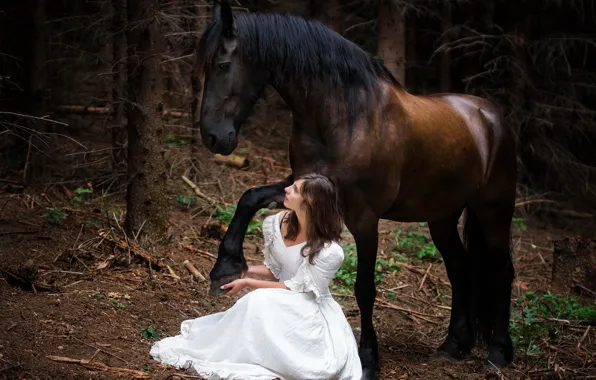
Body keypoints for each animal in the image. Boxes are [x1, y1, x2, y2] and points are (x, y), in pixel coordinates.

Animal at [194, 1, 516, 378]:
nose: (213, 137)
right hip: (442, 217)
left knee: (502, 272)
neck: (346, 118)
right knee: (460, 268)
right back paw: (454, 345)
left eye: (223, 65)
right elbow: (249, 198)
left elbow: (364, 288)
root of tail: (491, 117)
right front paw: (225, 266)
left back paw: (498, 352)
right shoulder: (299, 185)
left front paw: (369, 358)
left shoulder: (364, 218)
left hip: (494, 211)